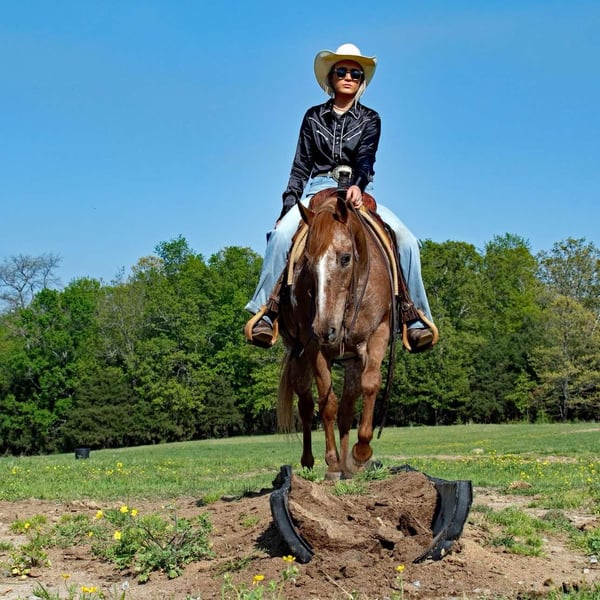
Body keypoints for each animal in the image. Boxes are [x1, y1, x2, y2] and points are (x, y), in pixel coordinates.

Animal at [276, 191, 395, 480]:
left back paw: (347, 467)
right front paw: (331, 463)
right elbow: (326, 402)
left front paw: (360, 453)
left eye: (345, 258)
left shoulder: (379, 333)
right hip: (299, 358)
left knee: (346, 410)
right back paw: (312, 460)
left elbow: (370, 385)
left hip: (351, 361)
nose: (325, 329)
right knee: (307, 404)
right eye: (307, 262)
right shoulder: (312, 346)